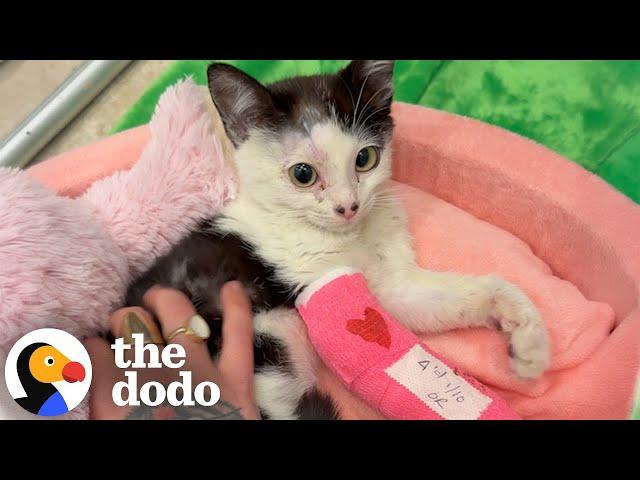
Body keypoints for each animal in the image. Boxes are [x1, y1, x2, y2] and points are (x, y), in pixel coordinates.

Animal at [125, 61, 552, 420]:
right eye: (302, 174)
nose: (349, 206)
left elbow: (430, 298)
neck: (348, 236)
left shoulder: (391, 285)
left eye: (365, 159)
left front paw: (527, 337)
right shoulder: (312, 281)